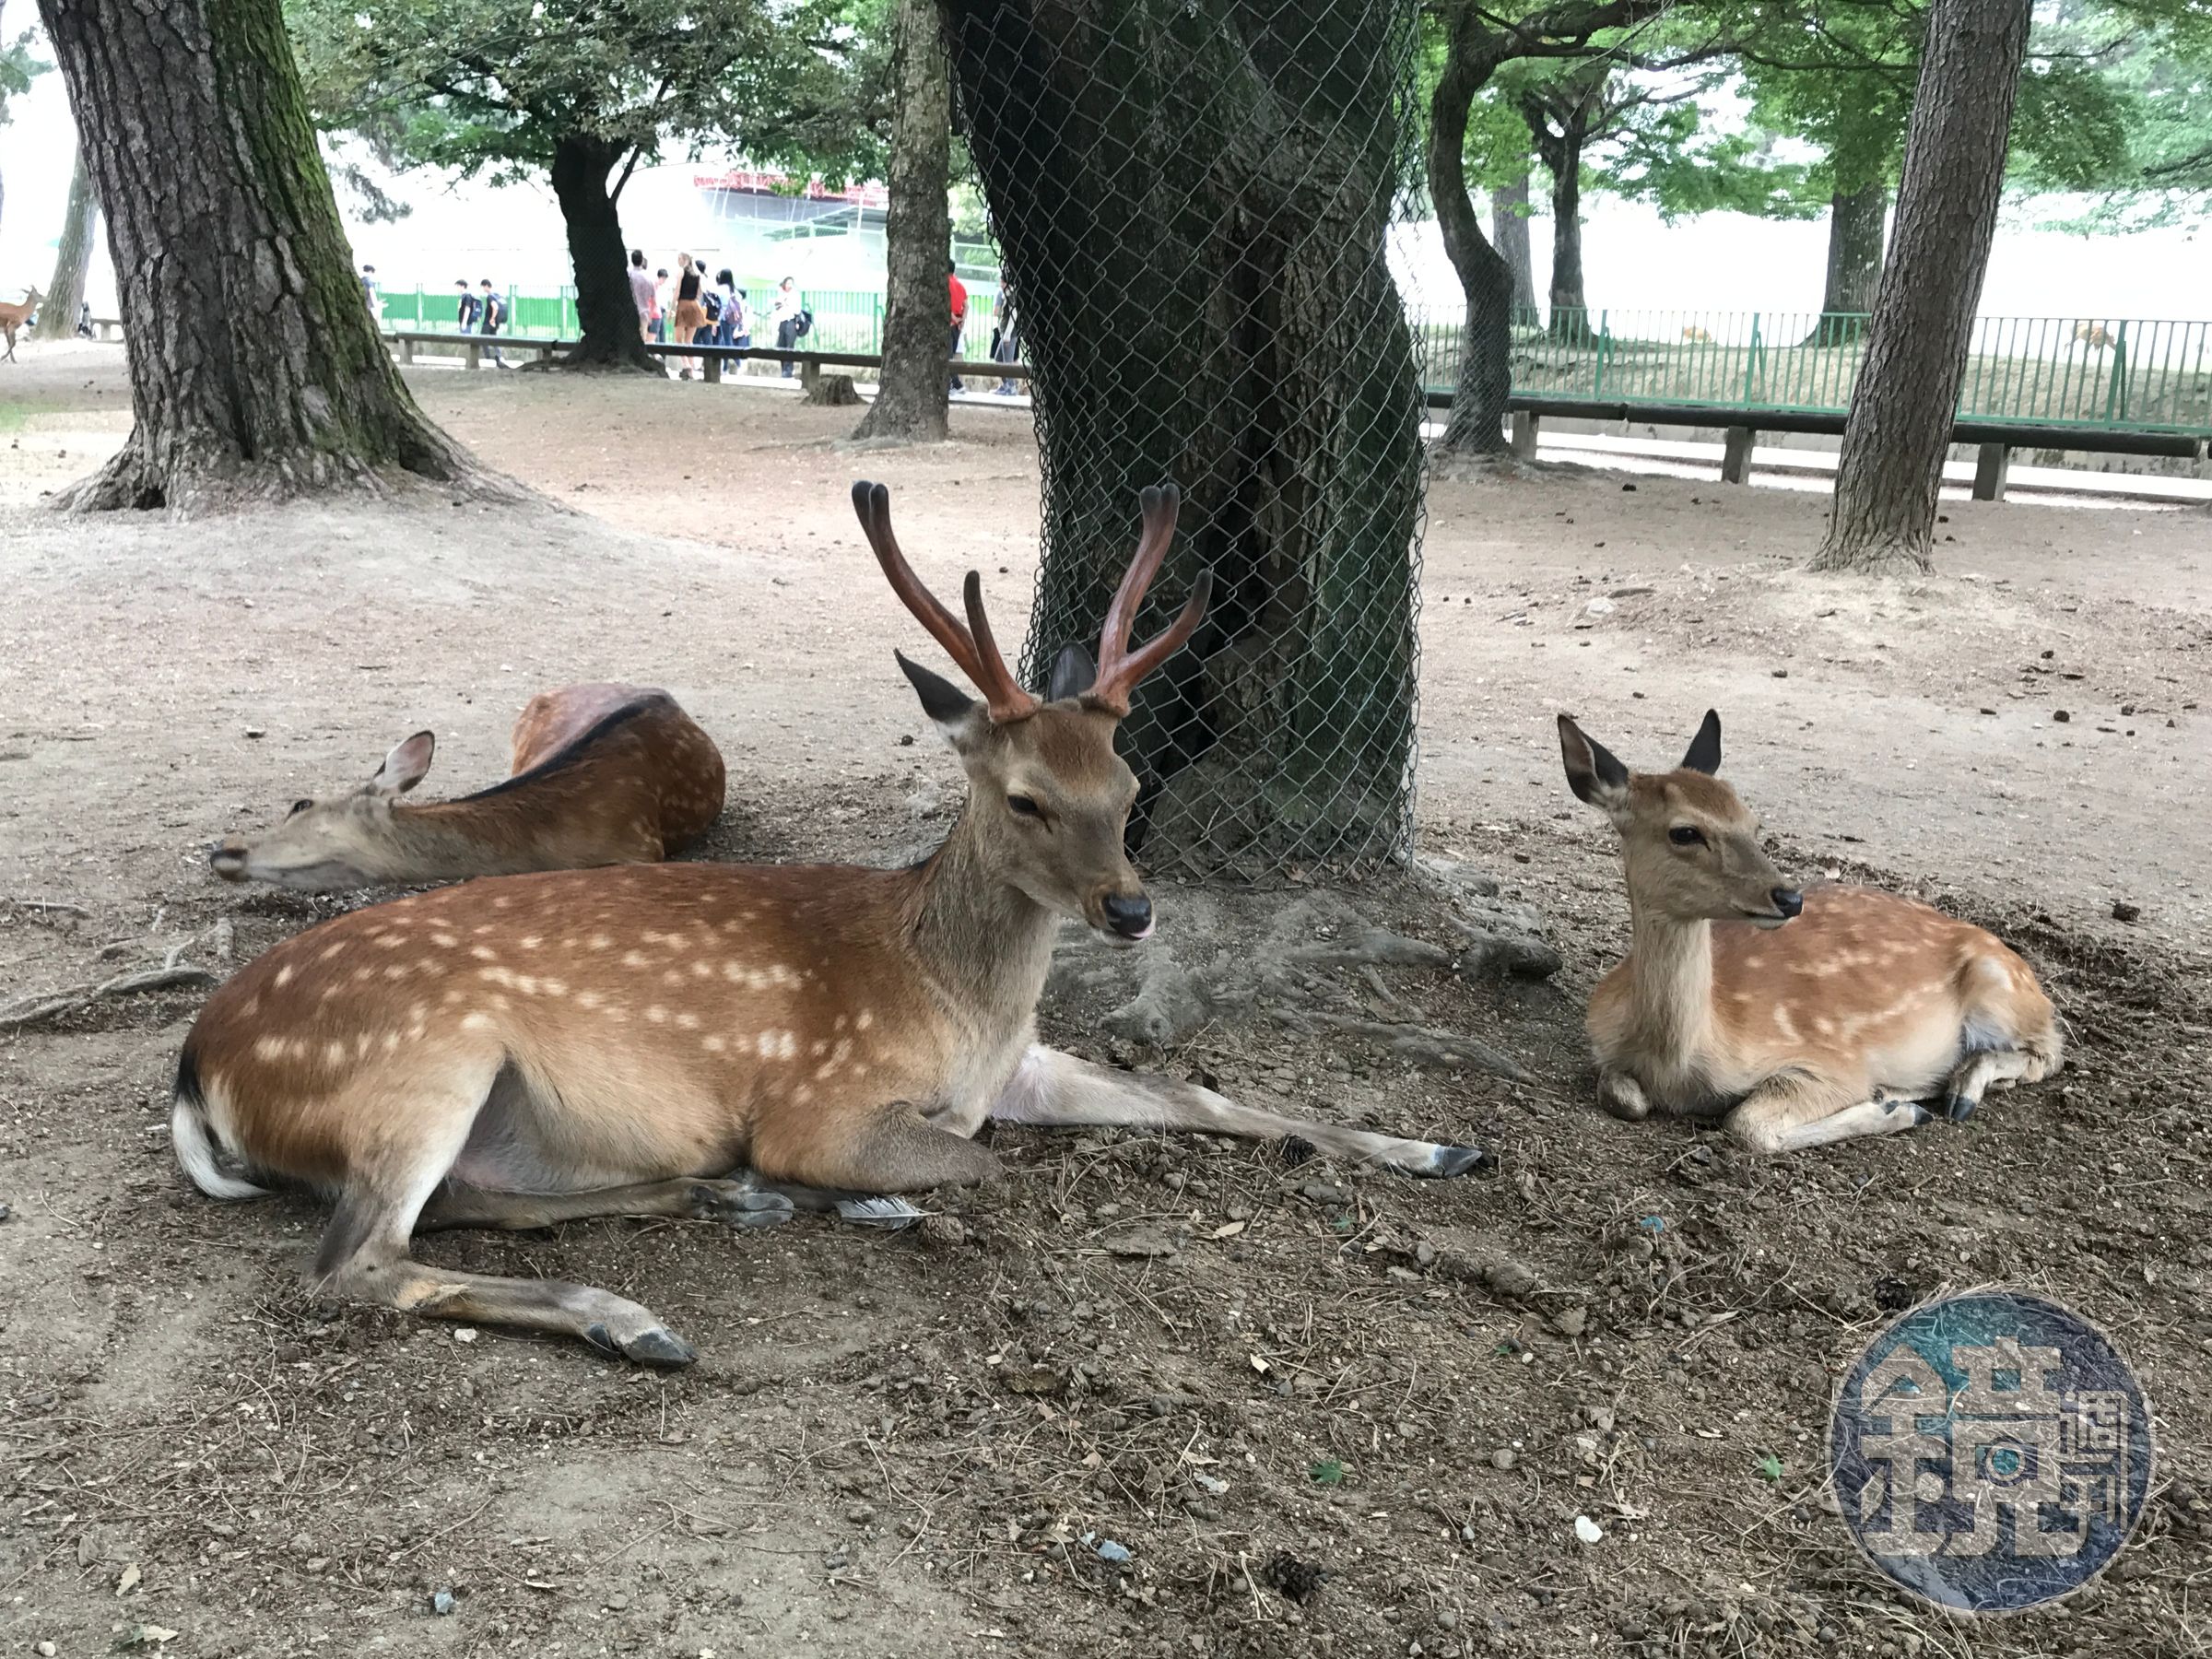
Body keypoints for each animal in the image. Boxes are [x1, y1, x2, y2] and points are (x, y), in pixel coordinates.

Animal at [1558, 710, 2062, 1156]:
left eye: (1754, 822)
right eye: (1684, 832)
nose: (1788, 898)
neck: (1677, 1064)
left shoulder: (1833, 1060)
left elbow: (1746, 1123)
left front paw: (1895, 1110)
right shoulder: (1603, 1048)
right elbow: (1623, 1096)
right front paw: (1894, 1104)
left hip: (2001, 989)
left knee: (2050, 1051)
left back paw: (1956, 1093)